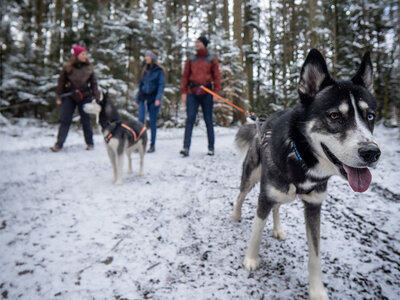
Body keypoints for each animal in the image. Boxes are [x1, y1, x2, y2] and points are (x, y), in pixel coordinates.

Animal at [234, 48, 382, 298]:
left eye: (369, 116)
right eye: (334, 116)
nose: (372, 152)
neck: (300, 157)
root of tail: (260, 123)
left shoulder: (314, 206)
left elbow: (315, 254)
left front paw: (317, 290)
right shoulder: (265, 196)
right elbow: (256, 230)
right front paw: (250, 260)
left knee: (277, 208)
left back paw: (278, 229)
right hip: (252, 177)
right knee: (241, 195)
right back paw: (235, 215)